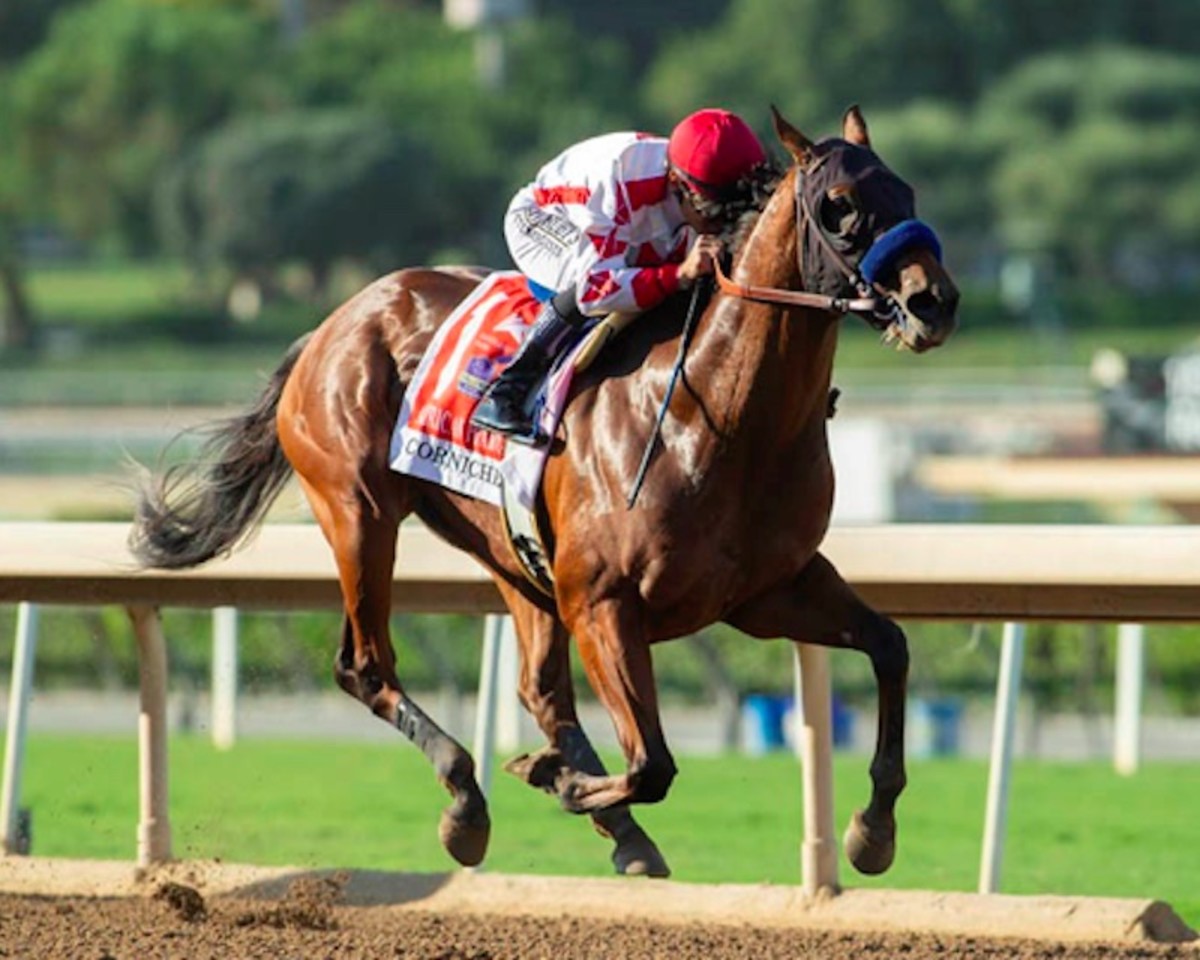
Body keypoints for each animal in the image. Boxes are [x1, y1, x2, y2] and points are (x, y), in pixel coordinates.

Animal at [130, 106, 959, 883]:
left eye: (907, 191)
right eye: (840, 206)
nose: (935, 302)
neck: (723, 416)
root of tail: (333, 323)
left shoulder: (768, 589)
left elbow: (890, 646)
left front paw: (873, 830)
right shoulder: (603, 601)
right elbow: (653, 764)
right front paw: (550, 778)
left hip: (512, 551)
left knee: (540, 690)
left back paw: (610, 829)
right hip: (359, 513)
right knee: (366, 666)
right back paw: (469, 801)